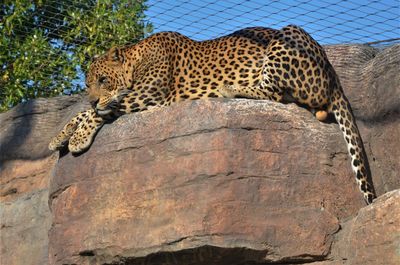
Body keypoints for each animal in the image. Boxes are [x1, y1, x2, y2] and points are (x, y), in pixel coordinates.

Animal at [48, 24, 376, 202]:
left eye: (103, 80)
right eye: (87, 84)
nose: (93, 98)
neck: (135, 59)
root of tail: (333, 73)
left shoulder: (148, 97)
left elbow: (98, 112)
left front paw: (77, 138)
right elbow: (84, 112)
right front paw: (59, 137)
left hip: (286, 36)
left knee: (274, 93)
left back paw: (230, 89)